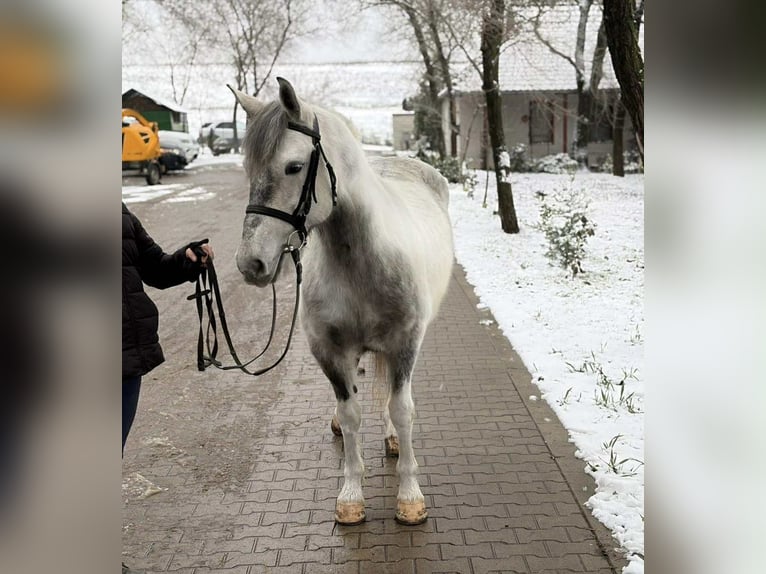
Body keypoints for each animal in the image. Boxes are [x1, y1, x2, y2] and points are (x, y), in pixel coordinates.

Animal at [229, 77, 454, 525]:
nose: (251, 263)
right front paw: (351, 496)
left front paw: (409, 496)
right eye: (249, 170)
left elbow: (401, 408)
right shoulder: (329, 351)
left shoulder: (404, 345)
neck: (360, 260)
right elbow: (351, 415)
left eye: (293, 167)